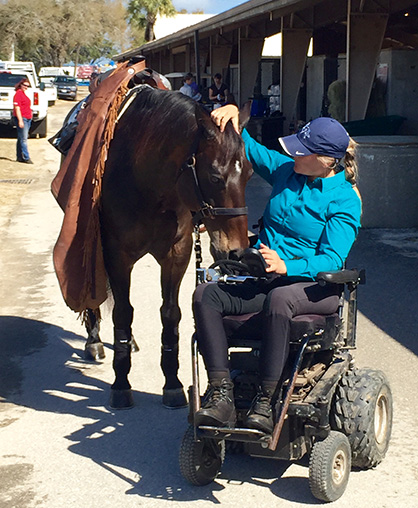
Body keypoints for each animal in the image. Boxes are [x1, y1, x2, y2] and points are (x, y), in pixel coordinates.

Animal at [82, 84, 251, 408]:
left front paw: (172, 382)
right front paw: (121, 383)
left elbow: (170, 315)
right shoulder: (116, 255)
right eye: (215, 177)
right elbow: (122, 312)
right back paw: (94, 340)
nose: (236, 251)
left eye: (249, 173)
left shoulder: (176, 254)